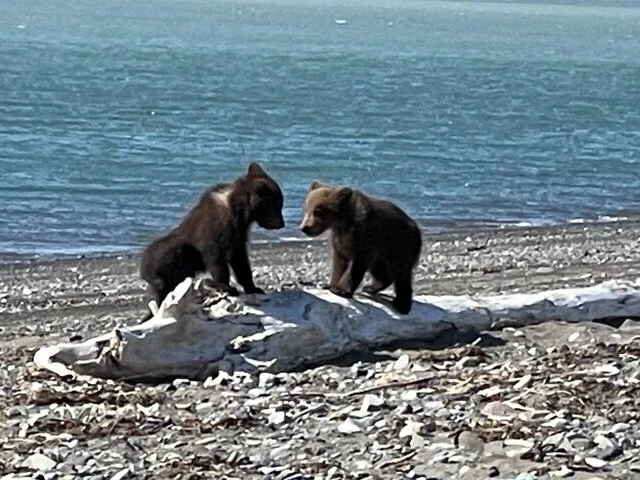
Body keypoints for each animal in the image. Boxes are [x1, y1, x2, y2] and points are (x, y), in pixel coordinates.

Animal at [140, 162, 285, 317]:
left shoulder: (238, 235)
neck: (239, 212)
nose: (281, 223)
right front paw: (227, 286)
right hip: (172, 256)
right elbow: (216, 258)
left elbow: (240, 262)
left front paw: (254, 287)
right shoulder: (215, 227)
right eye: (277, 204)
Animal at [299, 181, 422, 314]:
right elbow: (339, 263)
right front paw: (330, 285)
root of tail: (416, 228)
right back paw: (370, 287)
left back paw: (402, 304)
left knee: (402, 274)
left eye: (318, 211)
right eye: (307, 208)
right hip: (383, 253)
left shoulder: (363, 237)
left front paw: (340, 290)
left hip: (400, 245)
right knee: (381, 270)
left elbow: (356, 265)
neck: (342, 223)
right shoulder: (340, 240)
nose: (304, 227)